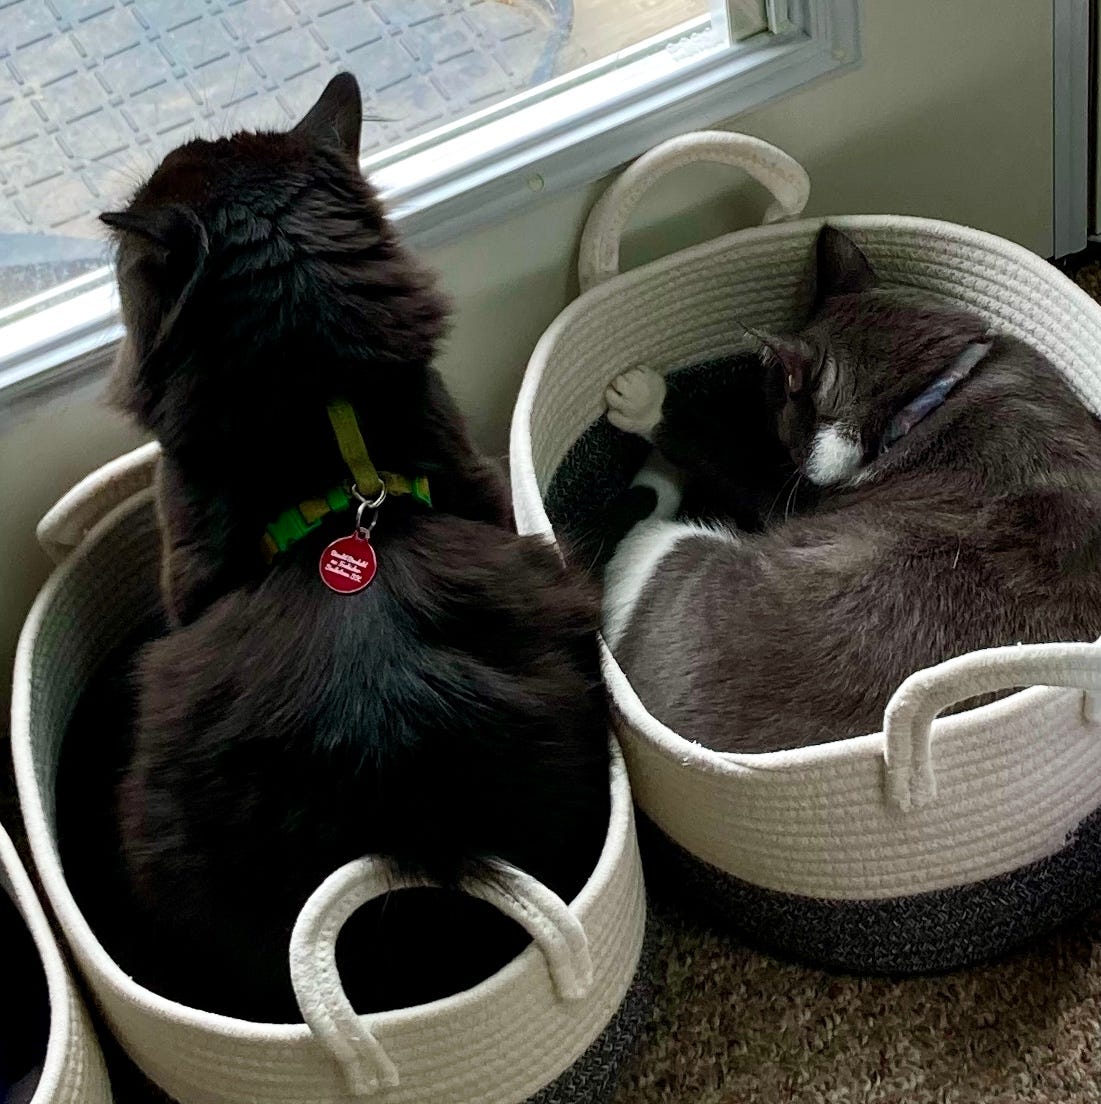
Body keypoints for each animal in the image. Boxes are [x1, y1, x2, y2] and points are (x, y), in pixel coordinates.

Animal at [600, 228, 1099, 755]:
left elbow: (723, 452)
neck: (926, 395)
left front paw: (643, 398)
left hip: (669, 555)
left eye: (775, 400)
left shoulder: (793, 495)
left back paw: (655, 470)